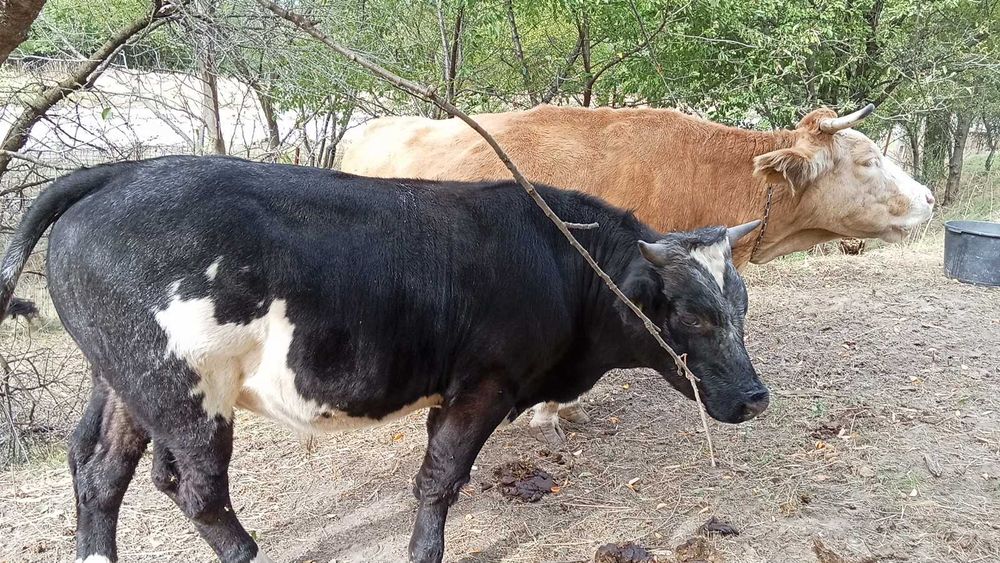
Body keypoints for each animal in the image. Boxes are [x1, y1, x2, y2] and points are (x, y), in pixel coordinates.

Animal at [0, 156, 766, 563]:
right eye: (694, 314)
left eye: (742, 303)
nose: (756, 397)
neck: (558, 257)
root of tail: (125, 170)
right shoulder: (483, 386)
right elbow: (440, 480)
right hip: (182, 392)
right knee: (195, 489)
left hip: (124, 383)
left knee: (99, 469)